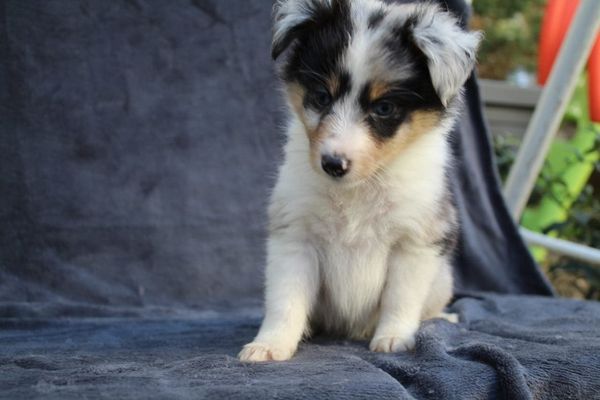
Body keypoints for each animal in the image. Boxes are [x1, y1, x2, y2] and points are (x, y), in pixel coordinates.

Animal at [240, 0, 482, 362]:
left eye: (384, 108)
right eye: (321, 97)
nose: (332, 165)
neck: (359, 189)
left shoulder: (415, 241)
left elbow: (400, 298)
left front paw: (394, 338)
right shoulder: (295, 235)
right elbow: (286, 298)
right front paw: (270, 345)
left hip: (443, 279)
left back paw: (442, 317)